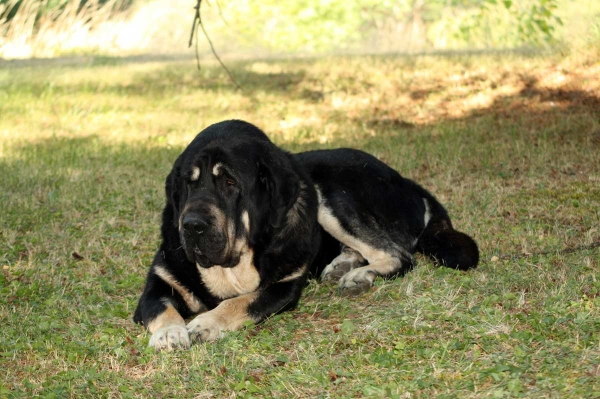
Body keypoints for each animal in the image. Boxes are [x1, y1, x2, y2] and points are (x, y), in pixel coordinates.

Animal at [132, 120, 478, 352]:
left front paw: (206, 322)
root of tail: (408, 182)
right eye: (188, 183)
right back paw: (343, 266)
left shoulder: (282, 288)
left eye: (230, 183)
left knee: (399, 255)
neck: (234, 264)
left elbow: (241, 302)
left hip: (330, 192)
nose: (191, 225)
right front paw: (169, 333)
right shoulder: (159, 282)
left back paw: (360, 275)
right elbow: (162, 308)